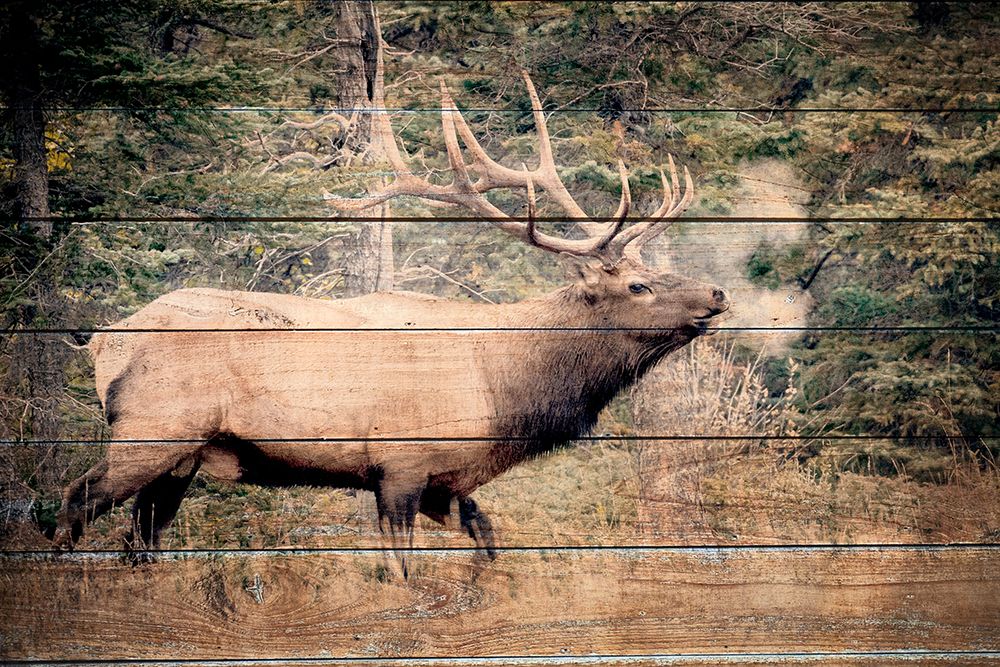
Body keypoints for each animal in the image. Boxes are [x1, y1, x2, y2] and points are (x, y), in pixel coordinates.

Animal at [54, 72, 730, 577]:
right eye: (637, 286)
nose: (718, 292)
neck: (503, 393)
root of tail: (104, 341)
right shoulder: (401, 463)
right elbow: (400, 568)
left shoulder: (446, 482)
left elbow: (488, 542)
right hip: (153, 429)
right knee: (75, 501)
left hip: (184, 455)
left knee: (142, 536)